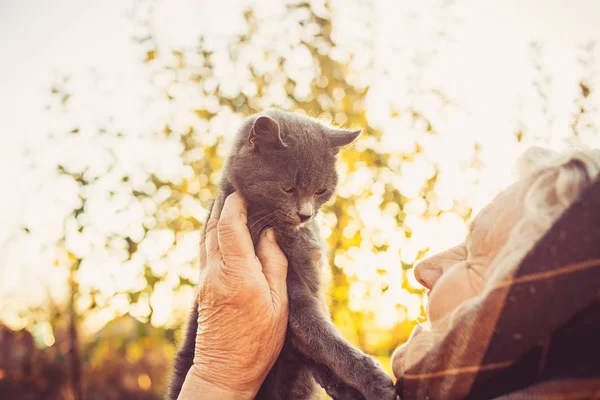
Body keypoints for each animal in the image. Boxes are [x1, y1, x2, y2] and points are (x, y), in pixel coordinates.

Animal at [166, 109, 396, 400]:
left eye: (320, 190)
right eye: (288, 188)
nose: (305, 214)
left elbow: (315, 338)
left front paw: (348, 386)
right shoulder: (293, 289)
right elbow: (319, 333)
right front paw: (373, 379)